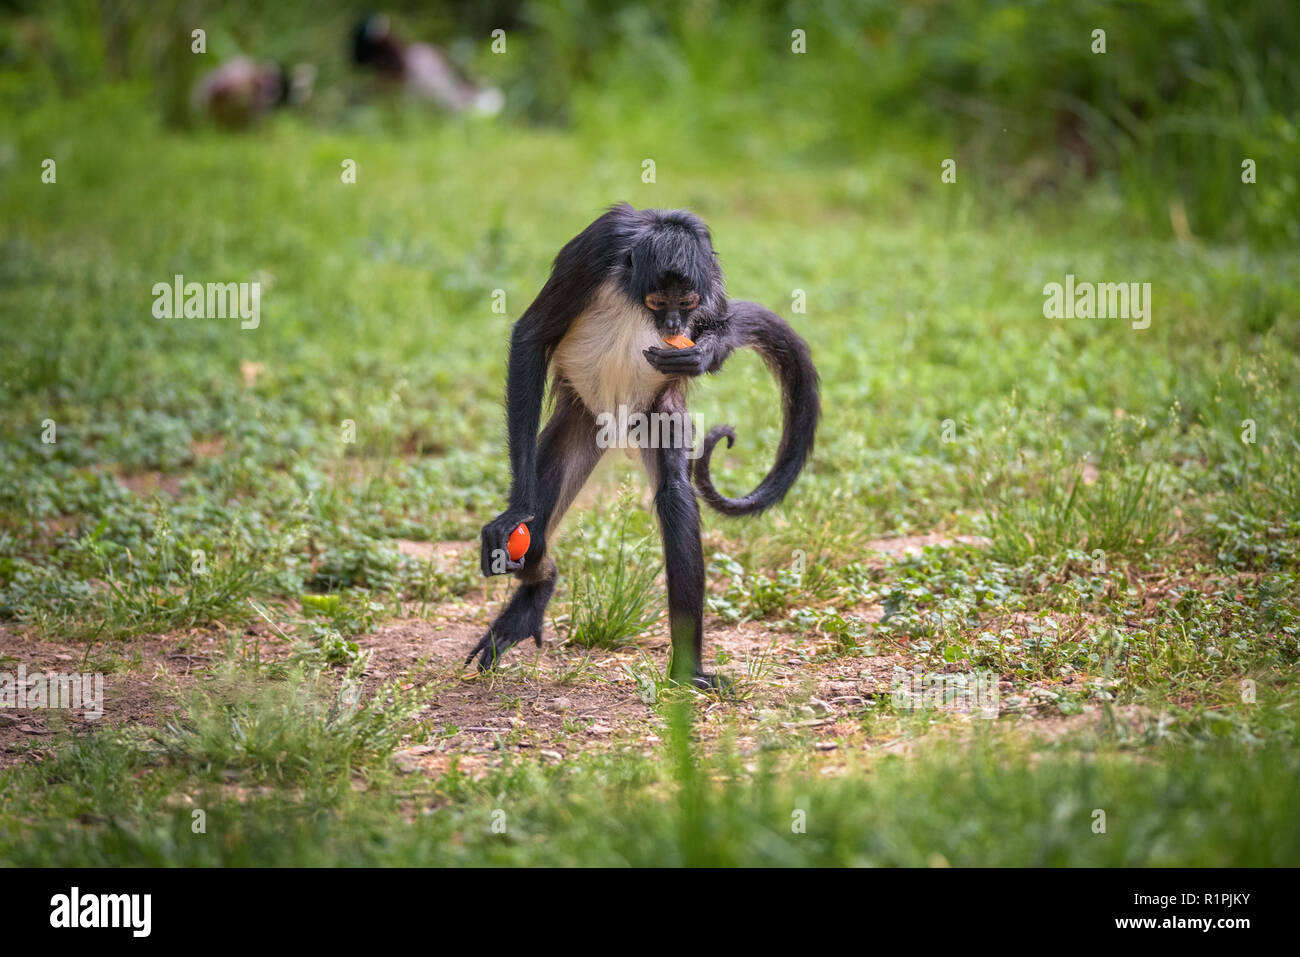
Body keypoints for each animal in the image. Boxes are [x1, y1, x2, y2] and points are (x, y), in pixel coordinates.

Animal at [467, 201, 816, 686]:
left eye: (686, 305)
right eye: (657, 303)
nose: (673, 324)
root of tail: (612, 419)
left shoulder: (709, 272)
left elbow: (718, 328)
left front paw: (702, 353)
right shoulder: (595, 249)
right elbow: (530, 337)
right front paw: (518, 506)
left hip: (656, 412)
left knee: (675, 496)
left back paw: (687, 671)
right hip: (580, 415)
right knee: (532, 538)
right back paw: (540, 583)